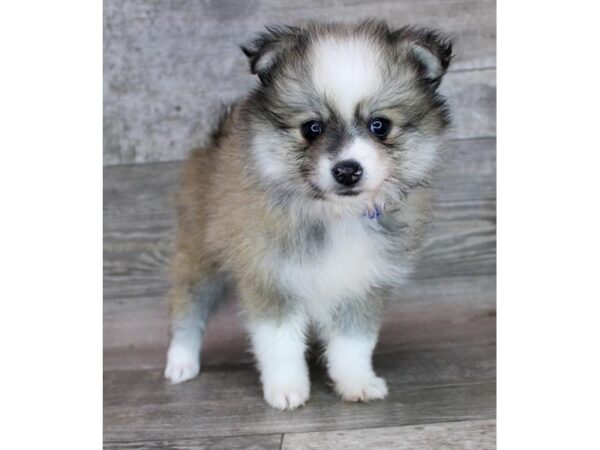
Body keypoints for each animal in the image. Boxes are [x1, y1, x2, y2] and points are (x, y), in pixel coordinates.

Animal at [162, 19, 452, 410]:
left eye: (380, 125)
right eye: (312, 128)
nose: (347, 170)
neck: (336, 214)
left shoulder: (364, 283)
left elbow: (354, 343)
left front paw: (356, 382)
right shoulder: (270, 276)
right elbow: (280, 344)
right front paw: (286, 389)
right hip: (200, 254)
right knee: (188, 306)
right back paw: (181, 362)